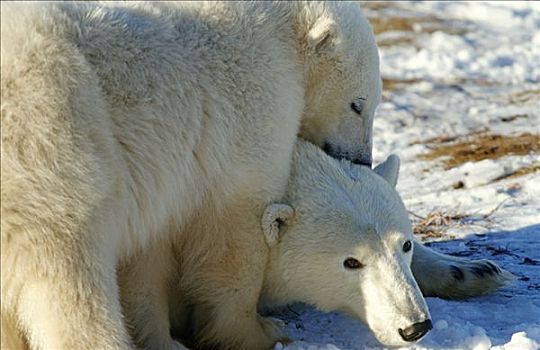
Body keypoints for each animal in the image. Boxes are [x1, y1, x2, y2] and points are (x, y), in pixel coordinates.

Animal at [1, 0, 380, 350]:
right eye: (358, 105)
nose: (362, 161)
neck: (280, 31)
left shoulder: (163, 179)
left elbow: (149, 255)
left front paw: (160, 335)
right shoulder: (255, 102)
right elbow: (233, 233)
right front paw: (259, 331)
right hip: (56, 148)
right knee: (69, 283)